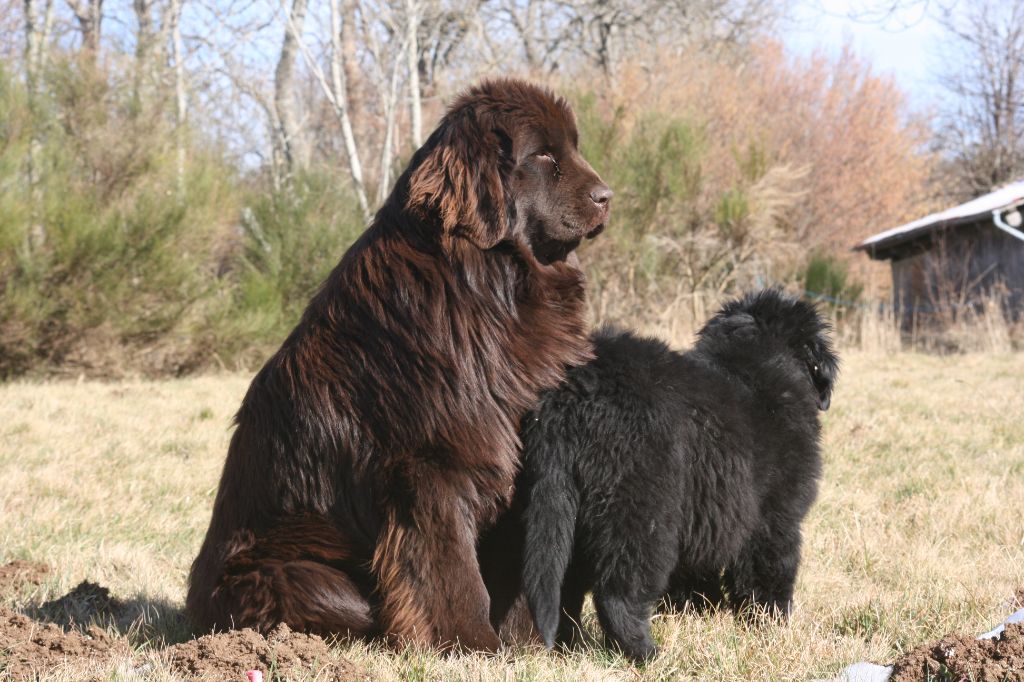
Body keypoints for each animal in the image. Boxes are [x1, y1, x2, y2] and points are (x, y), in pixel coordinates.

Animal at [186, 79, 606, 647]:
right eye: (542, 155)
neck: (489, 282)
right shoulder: (433, 465)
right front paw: (473, 646)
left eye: (573, 148)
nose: (607, 196)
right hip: (300, 577)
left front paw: (533, 643)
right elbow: (451, 571)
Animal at [524, 288, 835, 659]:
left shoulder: (708, 515)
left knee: (565, 590)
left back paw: (571, 647)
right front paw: (770, 622)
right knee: (617, 593)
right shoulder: (775, 517)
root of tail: (576, 390)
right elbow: (771, 569)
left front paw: (699, 611)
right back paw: (645, 654)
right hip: (640, 511)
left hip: (569, 505)